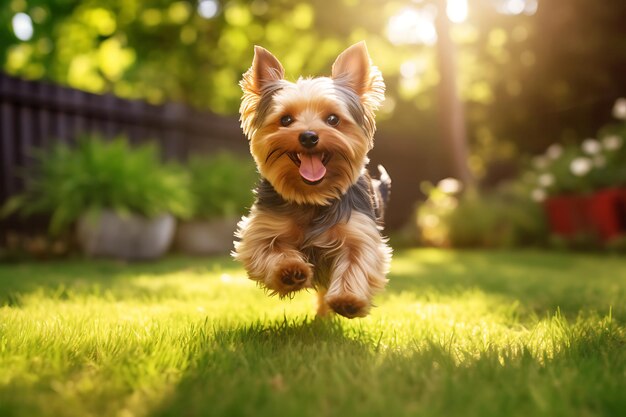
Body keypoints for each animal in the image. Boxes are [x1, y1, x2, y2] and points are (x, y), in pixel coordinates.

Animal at [234, 41, 390, 316]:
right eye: (285, 119)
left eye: (333, 119)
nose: (308, 136)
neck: (313, 196)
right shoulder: (262, 230)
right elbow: (269, 248)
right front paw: (289, 272)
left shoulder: (359, 232)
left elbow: (356, 261)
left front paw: (348, 300)